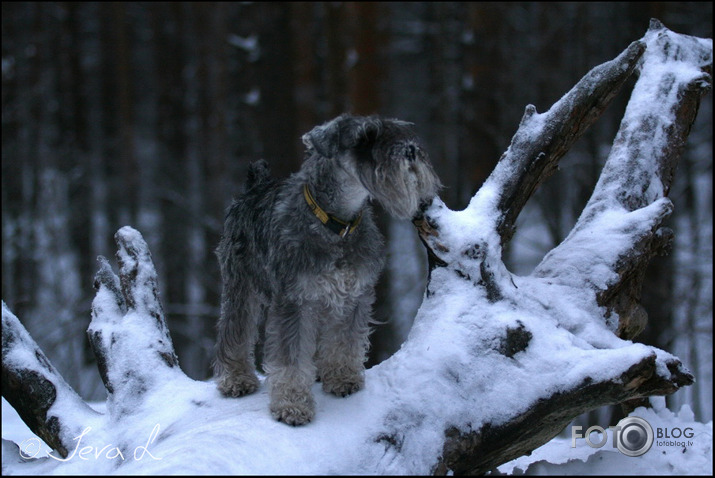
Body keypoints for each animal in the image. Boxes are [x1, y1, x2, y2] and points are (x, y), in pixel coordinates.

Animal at [213, 113, 440, 426]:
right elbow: (291, 358)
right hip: (240, 286)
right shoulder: (294, 301)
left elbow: (344, 341)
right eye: (365, 137)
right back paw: (235, 378)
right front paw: (292, 405)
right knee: (234, 330)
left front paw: (342, 378)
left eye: (397, 130)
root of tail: (253, 187)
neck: (337, 223)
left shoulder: (354, 295)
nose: (410, 151)